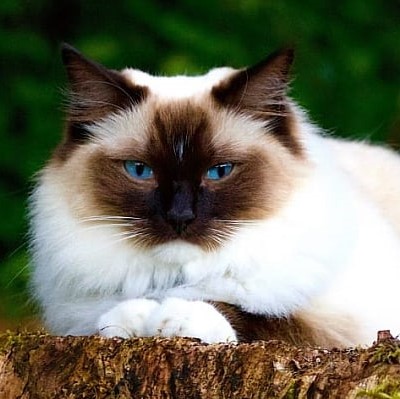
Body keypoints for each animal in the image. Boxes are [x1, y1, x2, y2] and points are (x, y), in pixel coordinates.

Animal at [29, 43, 400, 348]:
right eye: (140, 170)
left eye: (219, 171)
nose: (180, 216)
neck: (174, 280)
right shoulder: (76, 316)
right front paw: (132, 318)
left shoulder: (357, 329)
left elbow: (265, 317)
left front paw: (176, 316)